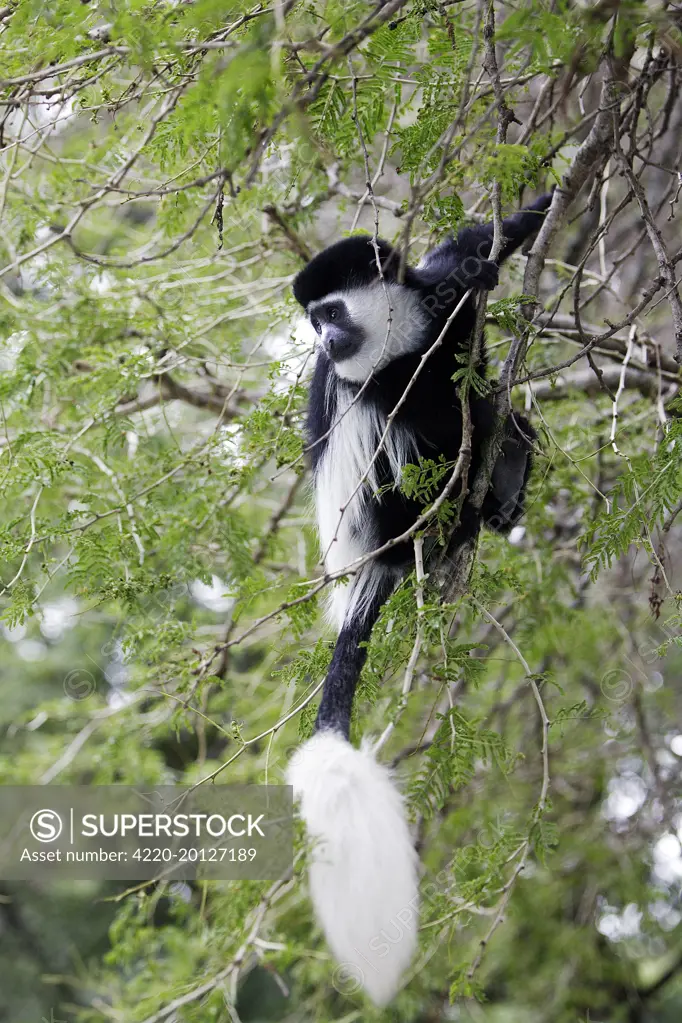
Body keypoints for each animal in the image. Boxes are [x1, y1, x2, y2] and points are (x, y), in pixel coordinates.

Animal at [286, 193, 552, 1006]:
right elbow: (392, 416)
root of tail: (374, 564)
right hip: (388, 508)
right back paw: (464, 506)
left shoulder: (425, 296)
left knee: (498, 413)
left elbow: (468, 250)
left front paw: (522, 225)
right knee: (411, 440)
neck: (393, 338)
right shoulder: (362, 383)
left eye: (330, 312)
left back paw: (503, 477)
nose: (325, 338)